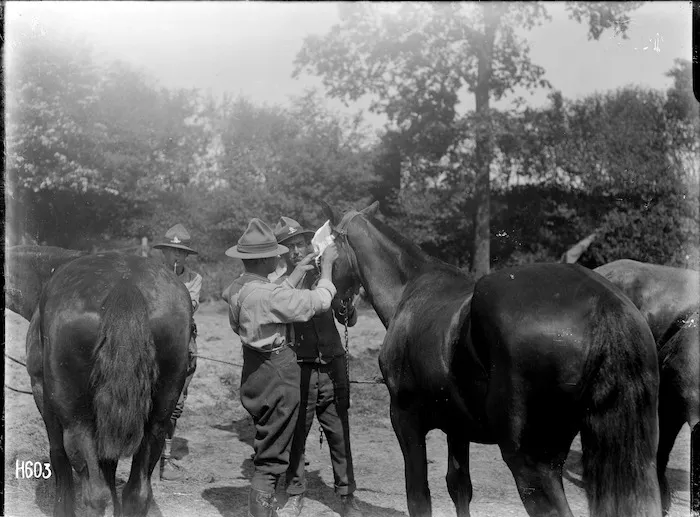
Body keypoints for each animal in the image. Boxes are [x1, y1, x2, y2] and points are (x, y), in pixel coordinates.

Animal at [5, 246, 193, 517]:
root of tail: (125, 285)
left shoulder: (40, 390)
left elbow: (58, 455)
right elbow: (109, 465)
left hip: (77, 422)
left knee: (94, 493)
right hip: (156, 423)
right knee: (137, 492)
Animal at [322, 202, 661, 517]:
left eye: (322, 253)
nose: (339, 307)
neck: (411, 289)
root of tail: (603, 303)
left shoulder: (406, 419)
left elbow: (419, 497)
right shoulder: (457, 427)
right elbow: (459, 486)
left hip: (532, 464)